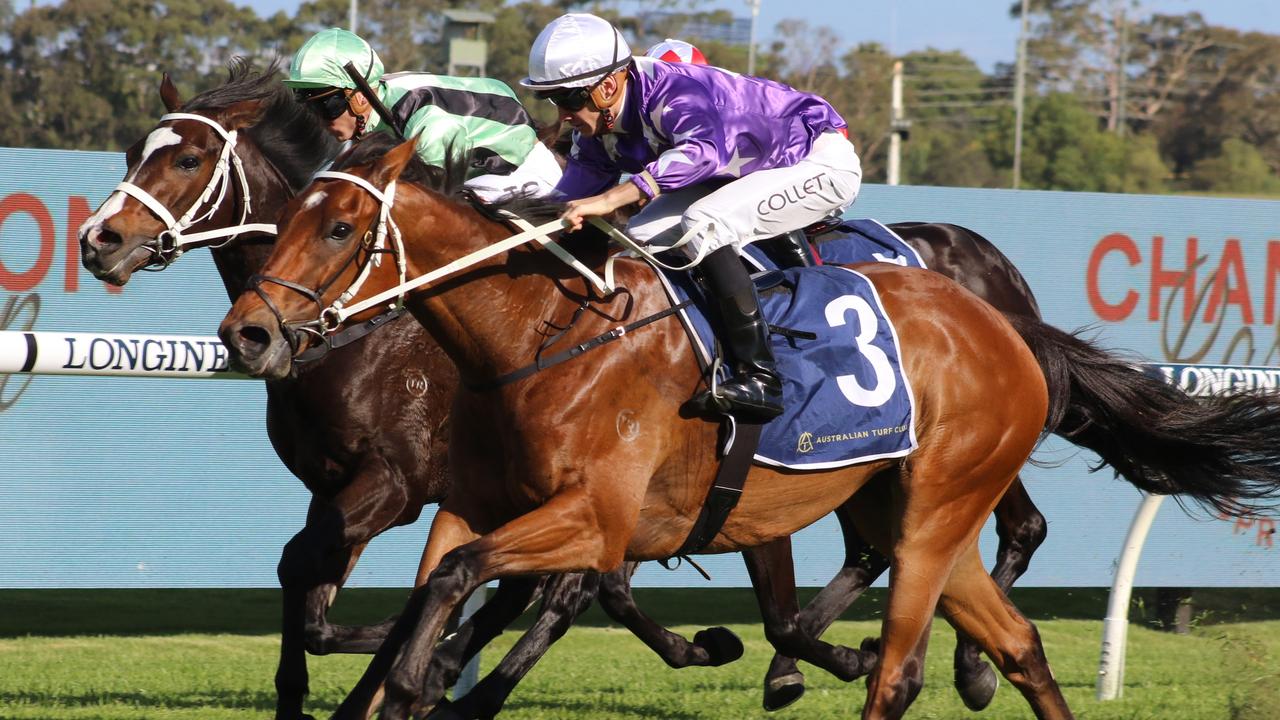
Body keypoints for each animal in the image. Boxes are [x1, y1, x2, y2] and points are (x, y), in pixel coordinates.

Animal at [74, 61, 1064, 712]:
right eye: (132, 150)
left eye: (187, 161)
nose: (100, 240)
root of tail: (984, 272)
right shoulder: (387, 492)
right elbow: (315, 585)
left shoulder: (398, 485)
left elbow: (402, 598)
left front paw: (416, 663)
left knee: (1007, 532)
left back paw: (925, 666)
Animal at [222, 135, 1280, 717]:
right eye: (287, 219)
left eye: (340, 229)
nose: (248, 332)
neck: (547, 332)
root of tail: (1010, 323)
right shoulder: (473, 504)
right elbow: (430, 599)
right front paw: (410, 679)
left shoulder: (594, 518)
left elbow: (465, 588)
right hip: (903, 502)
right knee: (1008, 628)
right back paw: (956, 668)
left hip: (939, 500)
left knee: (930, 631)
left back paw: (898, 665)